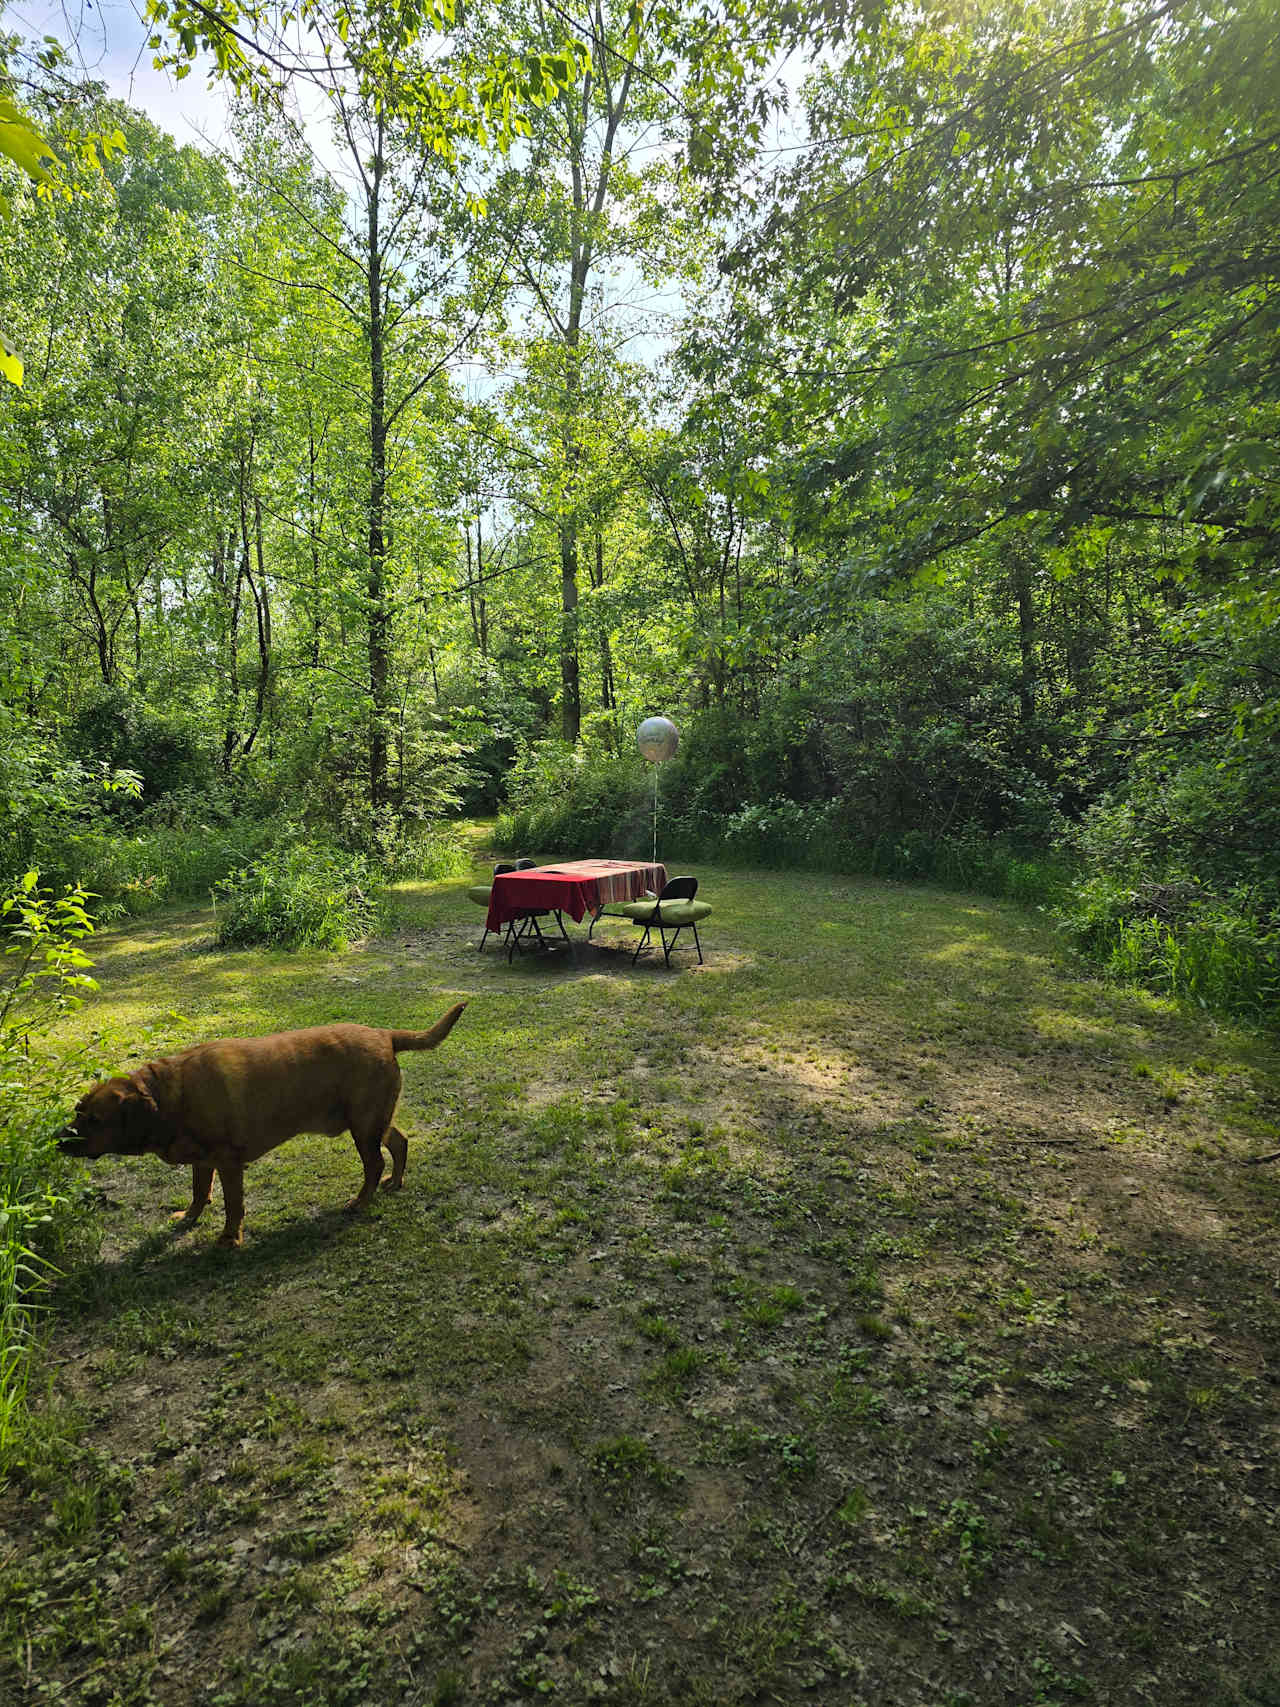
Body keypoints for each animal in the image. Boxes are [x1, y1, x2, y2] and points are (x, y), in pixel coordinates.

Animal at [60, 996, 467, 1256]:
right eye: (77, 1111)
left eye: (94, 1120)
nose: (59, 1141)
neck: (167, 1096)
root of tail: (384, 1035)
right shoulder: (202, 1161)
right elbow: (198, 1192)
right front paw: (190, 1216)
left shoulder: (228, 1162)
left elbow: (233, 1205)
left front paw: (230, 1238)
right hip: (373, 1120)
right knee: (399, 1142)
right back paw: (395, 1182)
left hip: (364, 1127)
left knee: (375, 1163)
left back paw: (361, 1200)